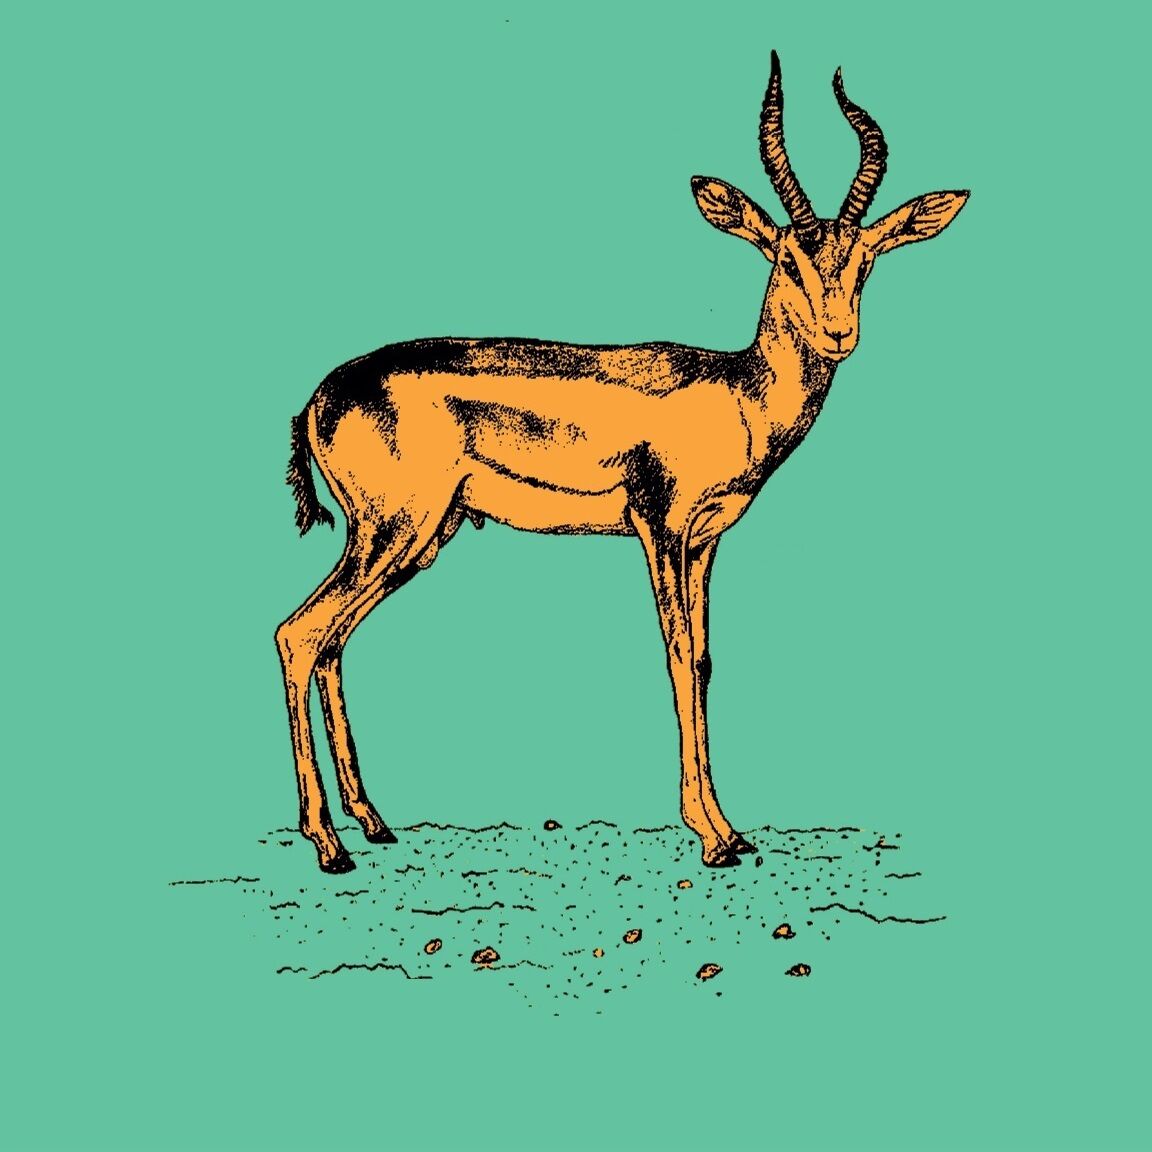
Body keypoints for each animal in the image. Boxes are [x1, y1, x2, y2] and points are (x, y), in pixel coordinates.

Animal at [276, 51, 968, 874]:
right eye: (787, 256)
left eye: (865, 259)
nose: (839, 335)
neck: (736, 392)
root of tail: (316, 398)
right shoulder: (659, 527)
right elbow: (676, 657)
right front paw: (713, 837)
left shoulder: (705, 540)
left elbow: (705, 661)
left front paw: (732, 830)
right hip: (392, 531)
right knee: (299, 634)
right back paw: (327, 845)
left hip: (416, 541)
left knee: (331, 642)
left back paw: (372, 823)